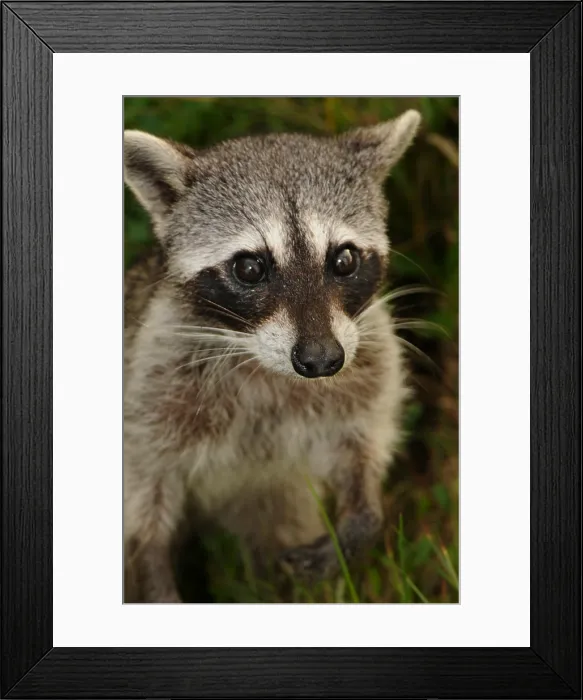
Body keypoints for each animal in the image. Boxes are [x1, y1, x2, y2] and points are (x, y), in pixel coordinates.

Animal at [123, 109, 421, 602]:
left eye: (344, 260)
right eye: (249, 268)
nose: (322, 361)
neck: (266, 367)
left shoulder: (368, 352)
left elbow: (361, 441)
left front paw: (363, 515)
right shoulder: (152, 375)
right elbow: (146, 486)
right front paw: (152, 565)